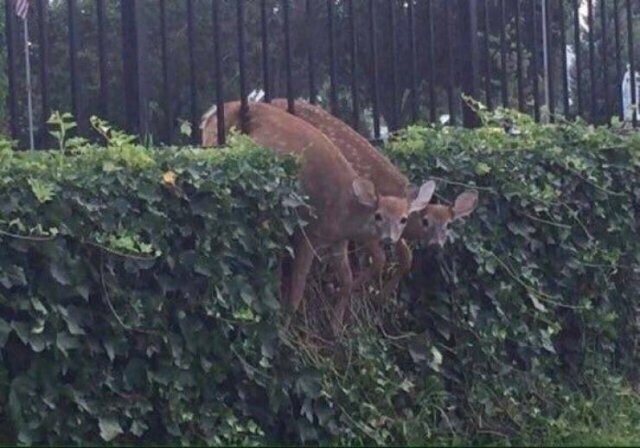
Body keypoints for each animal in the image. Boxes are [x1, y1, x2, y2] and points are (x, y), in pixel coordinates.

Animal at [199, 101, 436, 332]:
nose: (388, 238)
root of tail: (210, 115)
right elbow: (299, 289)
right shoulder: (311, 234)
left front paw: (337, 326)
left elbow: (352, 276)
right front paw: (286, 328)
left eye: (403, 219)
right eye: (378, 216)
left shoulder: (339, 241)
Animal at [268, 99, 478, 328]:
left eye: (449, 224)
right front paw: (355, 293)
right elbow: (380, 259)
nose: (437, 244)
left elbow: (406, 257)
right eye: (426, 221)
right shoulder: (368, 225)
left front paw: (379, 296)